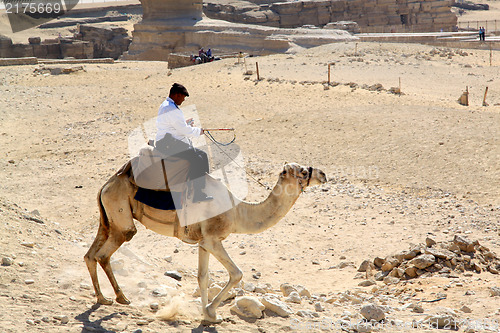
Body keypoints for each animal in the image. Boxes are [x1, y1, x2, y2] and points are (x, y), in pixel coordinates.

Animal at [85, 160, 328, 322]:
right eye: (303, 171)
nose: (323, 174)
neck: (238, 211)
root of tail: (106, 185)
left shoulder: (203, 242)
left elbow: (203, 277)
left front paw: (208, 315)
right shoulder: (212, 239)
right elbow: (236, 273)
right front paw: (212, 312)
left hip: (108, 220)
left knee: (90, 255)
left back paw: (102, 299)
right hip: (121, 220)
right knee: (104, 253)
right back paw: (121, 298)